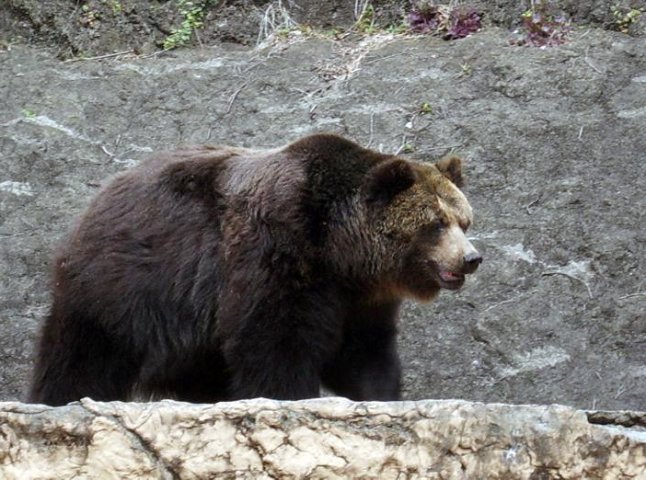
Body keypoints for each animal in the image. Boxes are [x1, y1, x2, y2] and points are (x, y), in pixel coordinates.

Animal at [30, 132, 484, 404]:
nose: (471, 258)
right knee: (85, 353)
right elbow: (275, 342)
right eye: (435, 224)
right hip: (128, 284)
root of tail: (99, 196)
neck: (340, 251)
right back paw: (60, 397)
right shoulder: (277, 252)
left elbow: (365, 355)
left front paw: (382, 395)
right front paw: (290, 396)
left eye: (464, 220)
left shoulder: (360, 300)